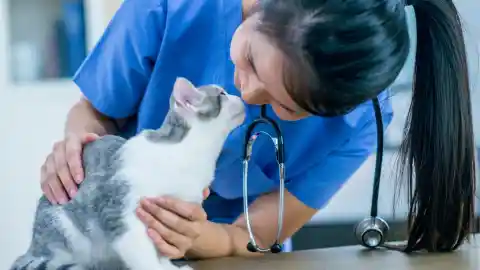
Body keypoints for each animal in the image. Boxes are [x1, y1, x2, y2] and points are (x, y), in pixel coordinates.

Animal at [10, 77, 248, 270]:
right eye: (222, 94)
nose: (238, 95)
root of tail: (34, 247)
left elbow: (159, 249)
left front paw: (168, 265)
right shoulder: (121, 212)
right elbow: (142, 253)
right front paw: (157, 268)